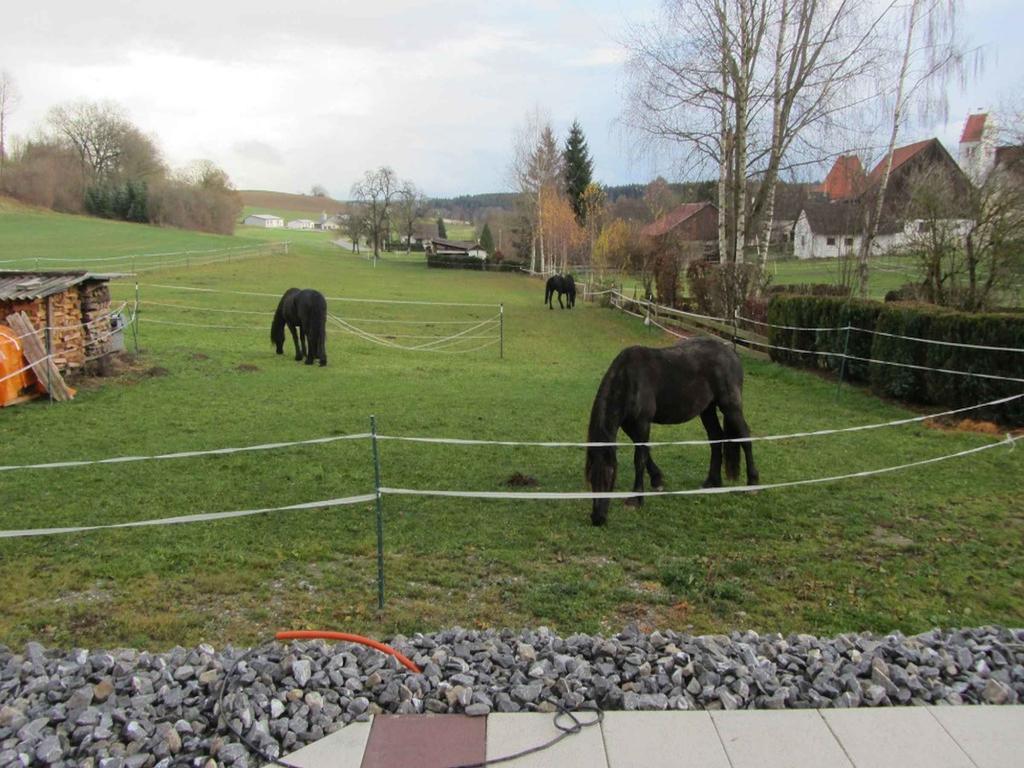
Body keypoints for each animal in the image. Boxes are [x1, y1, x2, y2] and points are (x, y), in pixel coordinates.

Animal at [585, 337, 761, 528]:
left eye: (610, 476)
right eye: (590, 478)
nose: (597, 518)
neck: (629, 380)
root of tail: (731, 353)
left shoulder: (642, 423)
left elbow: (639, 459)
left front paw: (635, 499)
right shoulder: (630, 425)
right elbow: (646, 453)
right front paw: (657, 481)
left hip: (730, 407)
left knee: (745, 438)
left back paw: (752, 484)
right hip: (707, 409)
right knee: (715, 438)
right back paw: (712, 482)